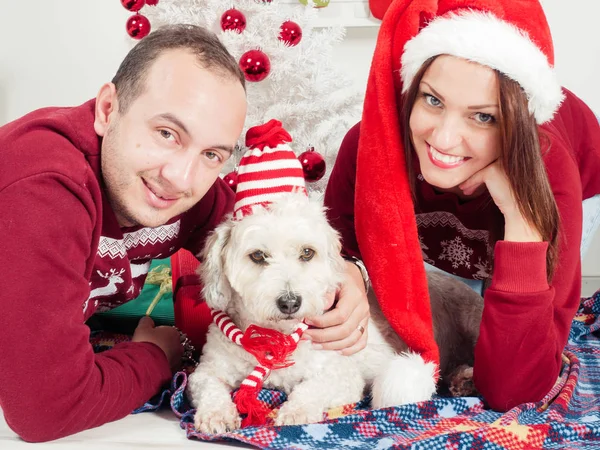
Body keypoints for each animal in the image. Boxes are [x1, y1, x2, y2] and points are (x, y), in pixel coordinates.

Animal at [189, 192, 482, 432]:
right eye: (258, 256)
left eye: (307, 252)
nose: (290, 302)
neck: (275, 338)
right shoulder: (206, 371)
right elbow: (208, 386)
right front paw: (216, 414)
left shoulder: (343, 377)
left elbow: (311, 388)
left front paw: (296, 412)